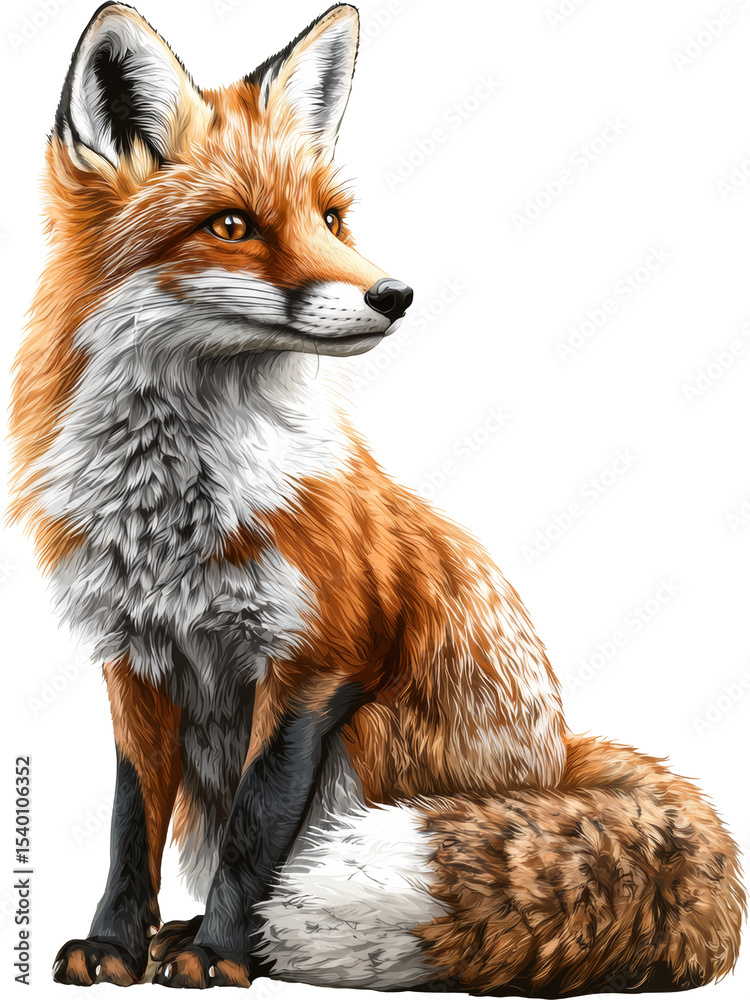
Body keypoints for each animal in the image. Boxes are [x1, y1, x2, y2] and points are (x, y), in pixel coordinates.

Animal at [8, 1, 744, 994]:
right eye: (233, 224)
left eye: (331, 218)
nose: (395, 294)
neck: (174, 514)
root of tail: (562, 760)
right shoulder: (134, 662)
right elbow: (132, 826)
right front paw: (118, 944)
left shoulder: (316, 663)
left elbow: (255, 830)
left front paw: (218, 953)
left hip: (374, 733)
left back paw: (265, 942)